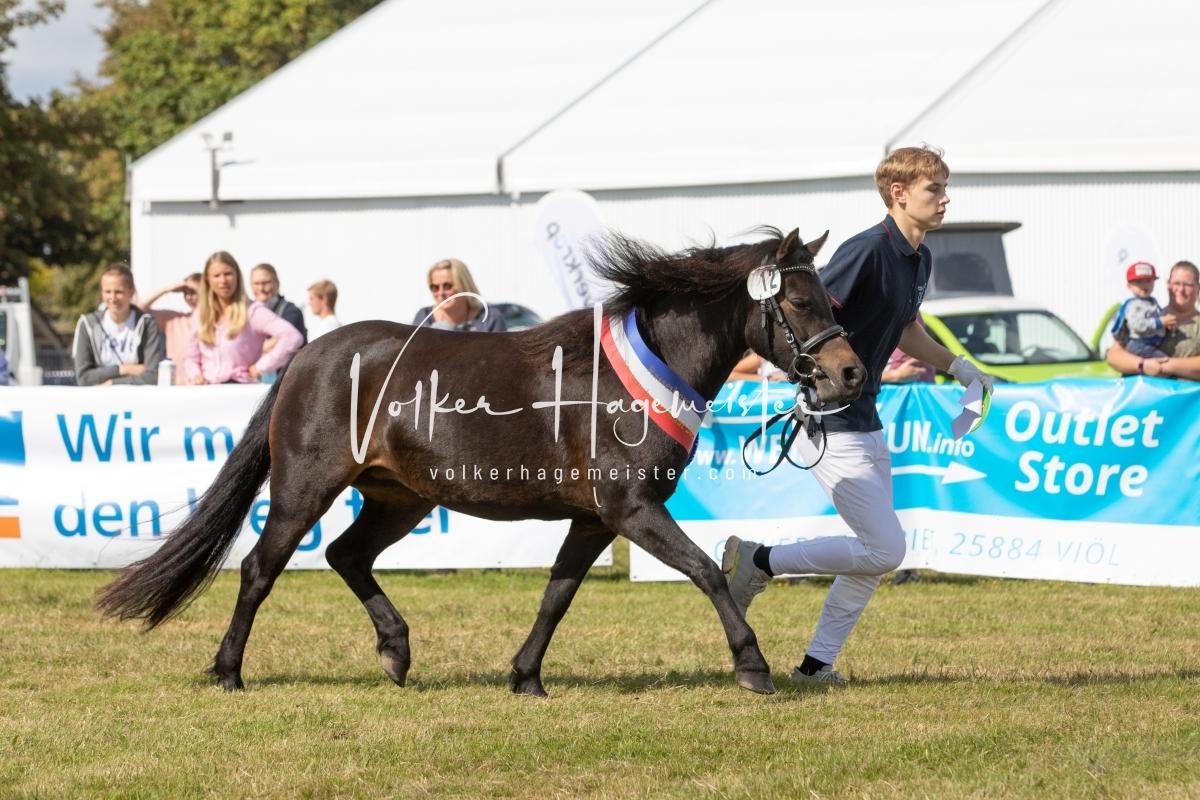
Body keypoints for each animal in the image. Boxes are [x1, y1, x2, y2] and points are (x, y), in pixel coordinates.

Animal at [98, 227, 865, 697]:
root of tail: (307, 355)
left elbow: (558, 594)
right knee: (261, 568)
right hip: (304, 489)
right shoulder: (633, 511)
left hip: (400, 497)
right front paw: (753, 666)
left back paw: (396, 652)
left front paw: (526, 677)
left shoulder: (595, 520)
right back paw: (229, 671)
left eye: (833, 297)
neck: (629, 378)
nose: (850, 373)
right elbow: (706, 571)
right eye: (799, 300)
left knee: (348, 555)